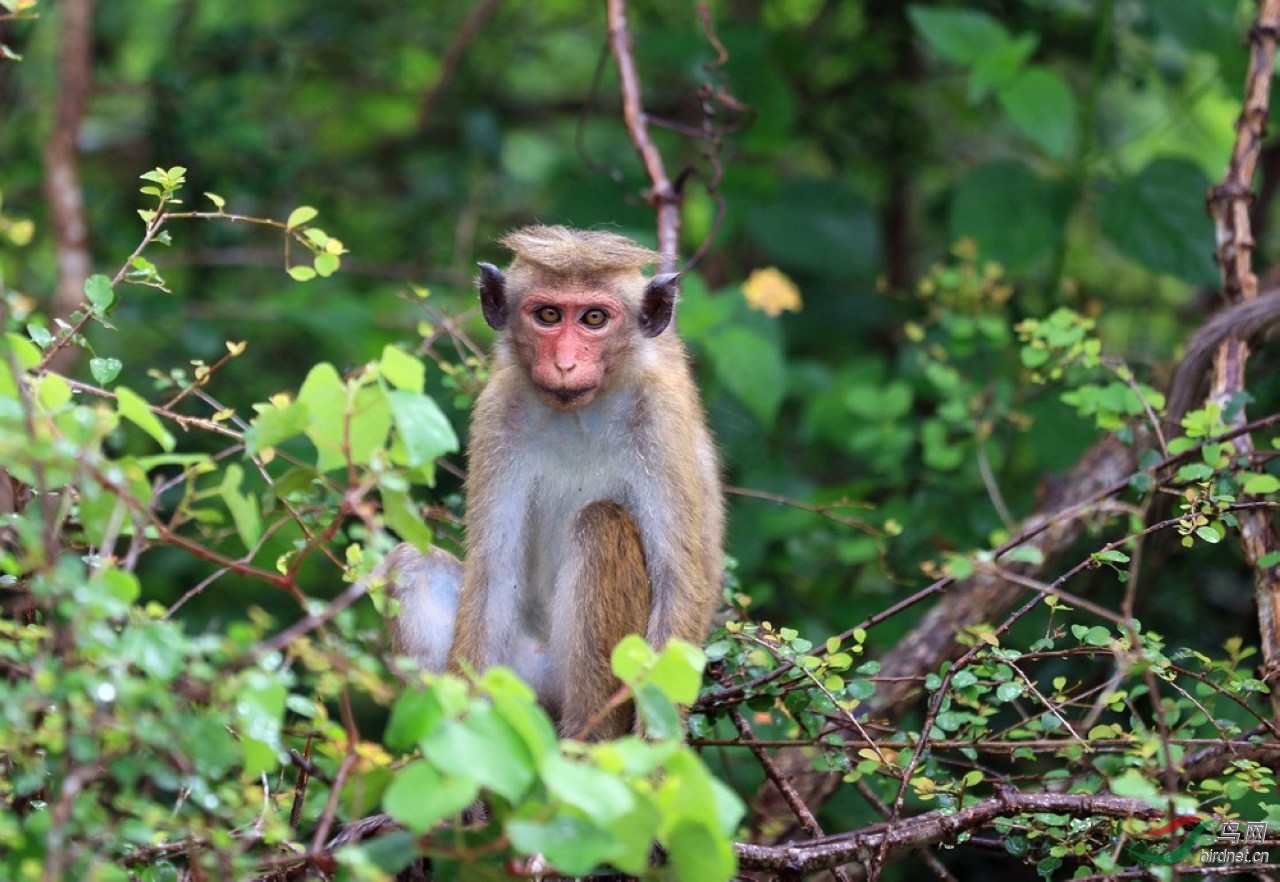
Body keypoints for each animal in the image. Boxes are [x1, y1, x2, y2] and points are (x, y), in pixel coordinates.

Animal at [376, 225, 721, 737]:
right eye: (548, 315)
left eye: (594, 318)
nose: (564, 364)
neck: (580, 412)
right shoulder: (500, 411)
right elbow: (493, 572)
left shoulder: (658, 417)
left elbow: (678, 582)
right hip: (516, 676)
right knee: (411, 563)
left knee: (601, 524)